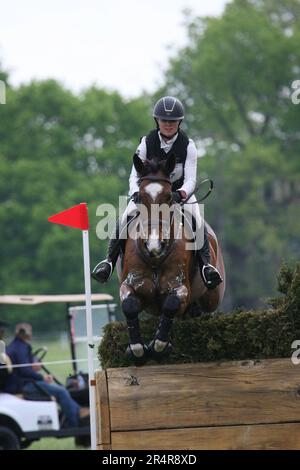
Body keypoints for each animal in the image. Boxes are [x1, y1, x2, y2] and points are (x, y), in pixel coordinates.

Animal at [117, 152, 225, 366]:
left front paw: (159, 347)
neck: (155, 259)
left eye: (168, 197)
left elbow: (171, 304)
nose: (154, 245)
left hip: (212, 298)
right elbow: (129, 305)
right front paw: (137, 350)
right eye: (140, 197)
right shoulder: (131, 284)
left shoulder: (181, 288)